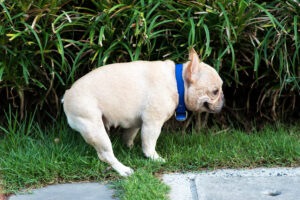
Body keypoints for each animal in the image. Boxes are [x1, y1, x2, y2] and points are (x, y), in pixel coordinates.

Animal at [62, 49, 223, 176]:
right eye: (215, 91)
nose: (223, 98)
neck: (177, 82)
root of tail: (66, 96)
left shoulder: (135, 122)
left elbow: (129, 135)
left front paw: (129, 148)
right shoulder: (152, 123)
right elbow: (149, 143)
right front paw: (154, 158)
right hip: (94, 128)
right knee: (106, 154)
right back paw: (123, 169)